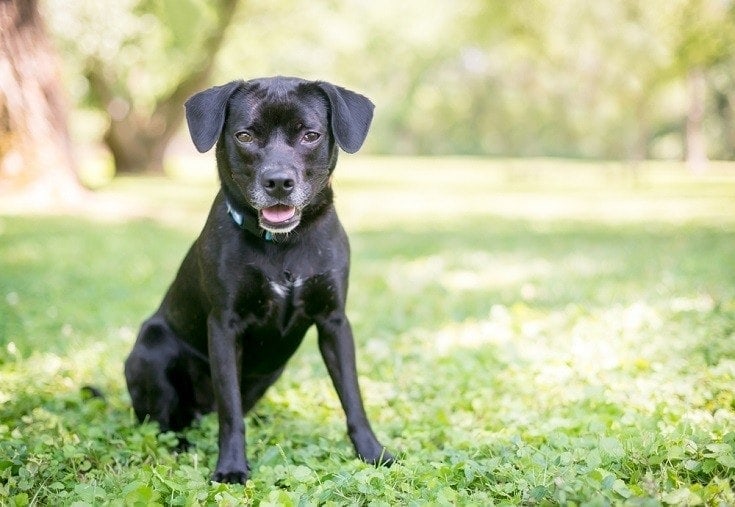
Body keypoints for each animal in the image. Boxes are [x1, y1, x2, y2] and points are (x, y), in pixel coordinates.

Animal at [123, 76, 394, 484]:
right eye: (245, 135)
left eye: (310, 135)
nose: (278, 182)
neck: (283, 245)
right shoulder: (224, 326)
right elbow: (230, 411)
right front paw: (232, 467)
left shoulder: (334, 322)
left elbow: (353, 397)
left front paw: (372, 452)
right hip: (151, 349)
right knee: (164, 421)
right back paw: (180, 446)